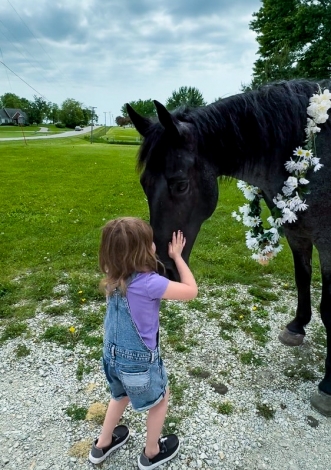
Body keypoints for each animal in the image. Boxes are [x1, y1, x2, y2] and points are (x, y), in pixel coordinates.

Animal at [127, 80, 331, 414]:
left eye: (180, 184)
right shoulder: (297, 232)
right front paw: (297, 326)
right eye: (144, 184)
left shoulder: (328, 243)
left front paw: (327, 385)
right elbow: (302, 277)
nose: (161, 270)